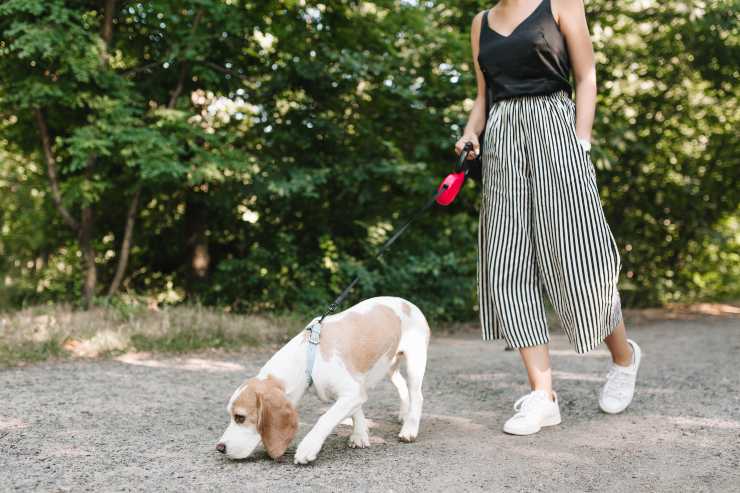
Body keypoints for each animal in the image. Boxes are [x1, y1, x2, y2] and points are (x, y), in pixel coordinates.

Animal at [214, 294, 430, 464]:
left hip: (414, 363)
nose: (220, 448)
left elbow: (326, 418)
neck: (308, 356)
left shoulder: (352, 392)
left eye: (240, 417)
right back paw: (403, 414)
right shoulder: (355, 391)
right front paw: (360, 434)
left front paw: (308, 447)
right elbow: (357, 412)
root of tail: (408, 303)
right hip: (389, 366)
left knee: (417, 396)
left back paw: (409, 428)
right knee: (402, 387)